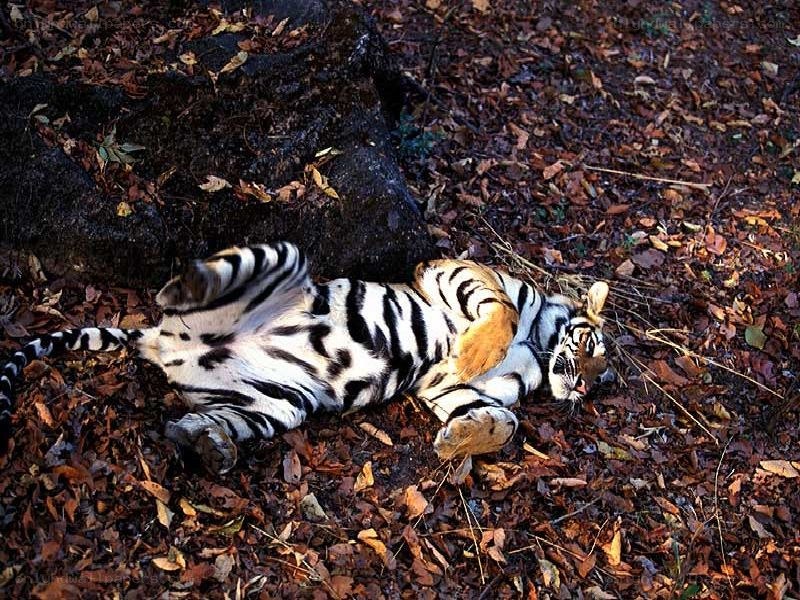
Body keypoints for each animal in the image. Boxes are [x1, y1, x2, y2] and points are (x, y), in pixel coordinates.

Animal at [0, 242, 614, 474]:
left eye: (599, 374)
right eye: (591, 351)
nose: (586, 385)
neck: (538, 345)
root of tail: (159, 339)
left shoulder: (439, 388)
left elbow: (503, 419)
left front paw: (459, 439)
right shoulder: (449, 269)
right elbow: (500, 309)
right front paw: (477, 352)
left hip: (275, 402)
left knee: (197, 422)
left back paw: (206, 444)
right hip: (281, 261)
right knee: (196, 280)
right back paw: (188, 283)